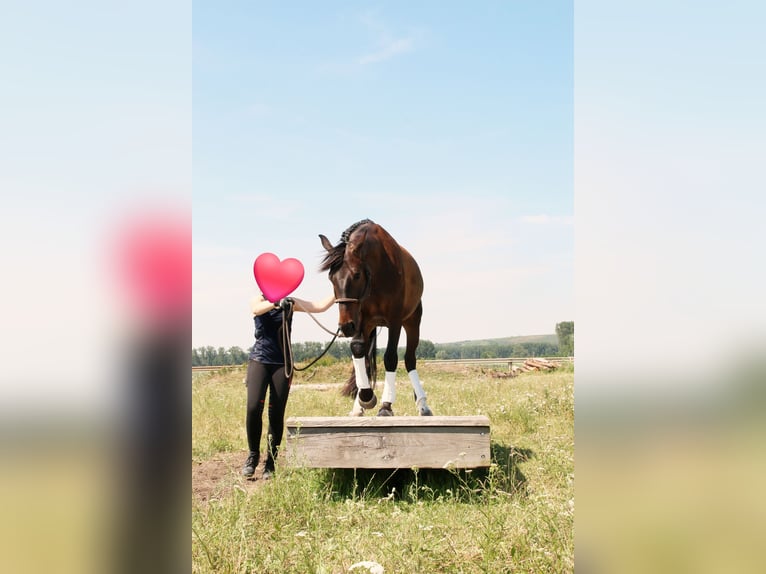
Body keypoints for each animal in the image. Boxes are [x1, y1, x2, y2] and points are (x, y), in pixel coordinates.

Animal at [320, 220, 436, 418]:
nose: (345, 326)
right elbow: (358, 350)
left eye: (357, 274)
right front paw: (365, 397)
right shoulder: (359, 319)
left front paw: (386, 405)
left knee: (410, 359)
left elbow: (390, 357)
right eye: (331, 278)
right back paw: (359, 406)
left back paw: (422, 403)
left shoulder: (394, 320)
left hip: (412, 322)